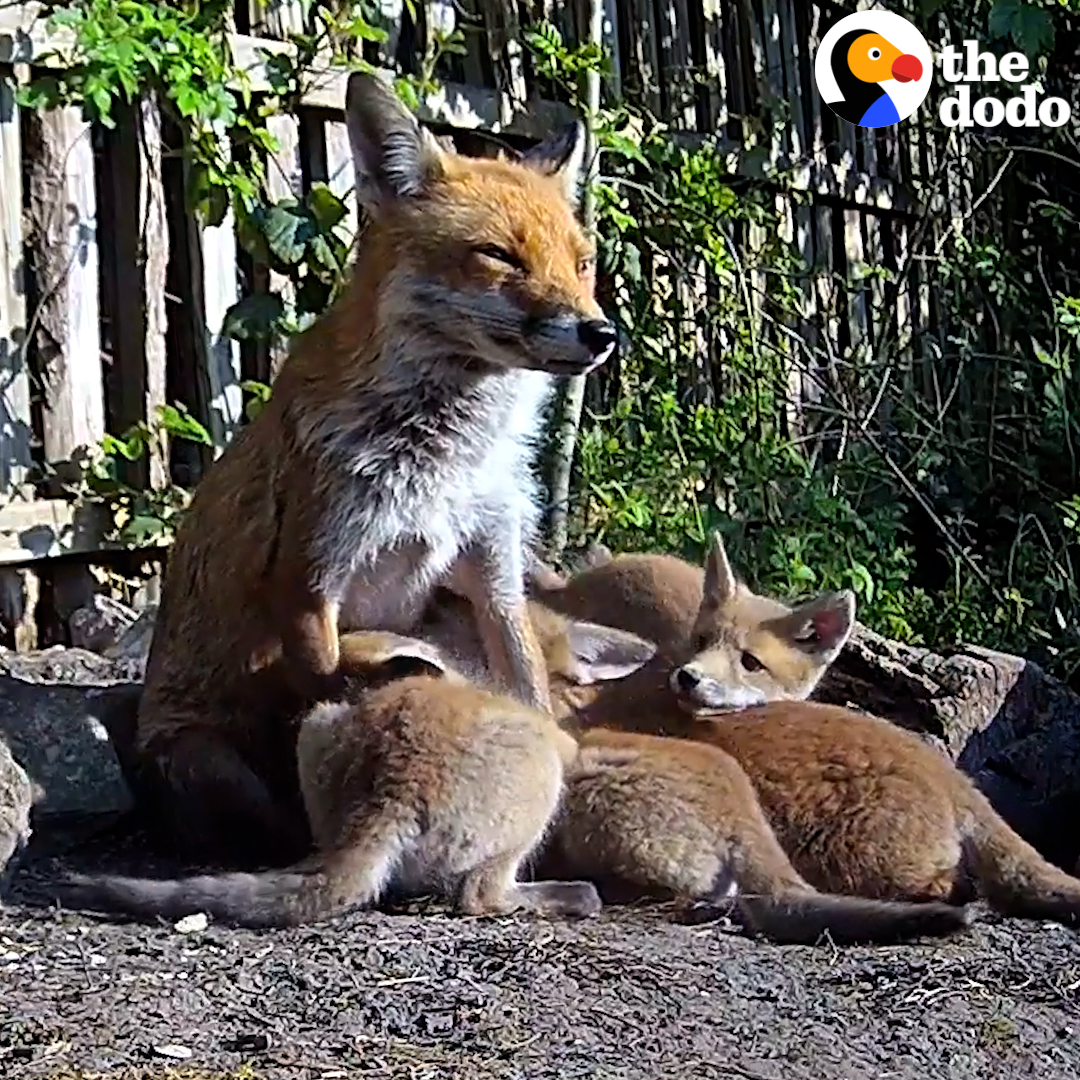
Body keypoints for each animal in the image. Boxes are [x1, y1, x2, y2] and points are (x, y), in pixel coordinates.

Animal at [132, 71, 617, 864]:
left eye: (581, 263)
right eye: (500, 257)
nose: (602, 332)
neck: (445, 459)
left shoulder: (493, 575)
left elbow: (530, 687)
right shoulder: (309, 582)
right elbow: (323, 683)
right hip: (203, 755)